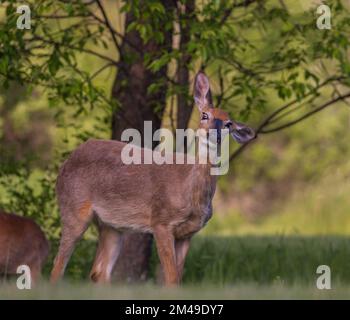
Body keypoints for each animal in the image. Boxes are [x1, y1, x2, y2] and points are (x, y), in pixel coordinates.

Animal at [50, 72, 256, 284]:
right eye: (205, 115)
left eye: (228, 123)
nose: (214, 134)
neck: (191, 193)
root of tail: (66, 162)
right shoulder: (160, 222)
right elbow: (171, 278)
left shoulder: (187, 234)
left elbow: (175, 278)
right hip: (73, 208)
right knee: (57, 267)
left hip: (111, 225)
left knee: (98, 272)